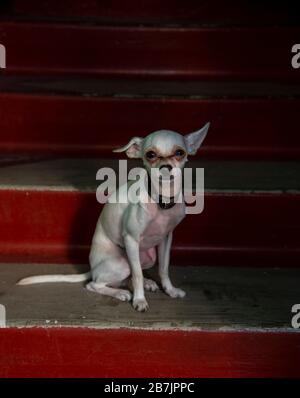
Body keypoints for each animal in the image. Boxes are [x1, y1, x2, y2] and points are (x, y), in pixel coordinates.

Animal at [18, 121, 209, 310]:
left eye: (179, 153)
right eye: (151, 155)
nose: (165, 168)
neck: (161, 199)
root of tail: (93, 268)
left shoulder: (166, 239)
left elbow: (163, 268)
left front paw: (170, 290)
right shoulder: (131, 239)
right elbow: (137, 275)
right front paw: (140, 300)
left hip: (147, 257)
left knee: (128, 277)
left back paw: (146, 283)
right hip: (122, 263)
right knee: (96, 283)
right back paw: (121, 293)